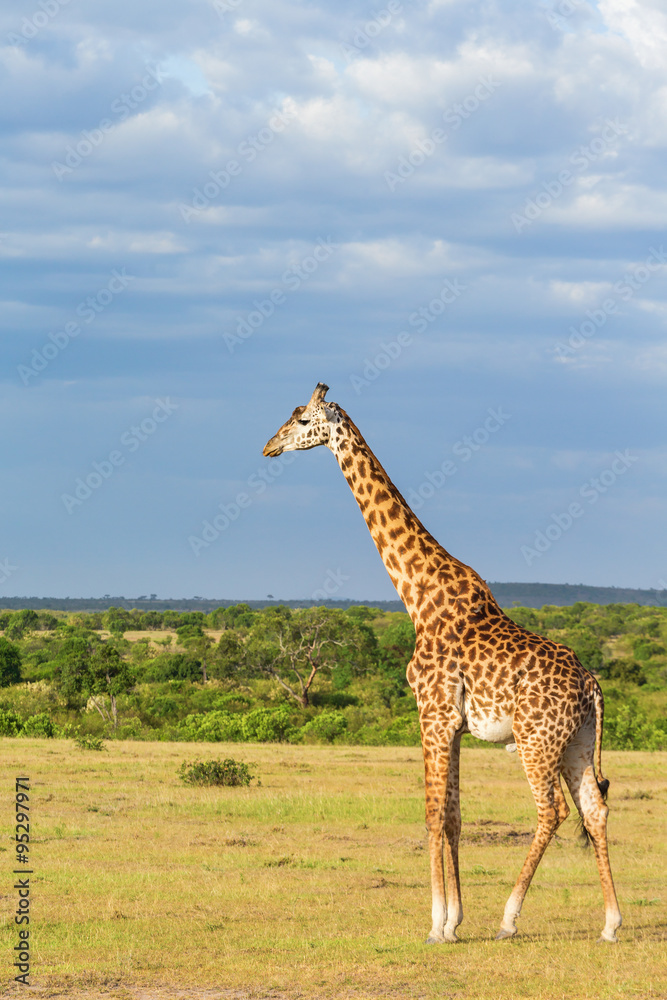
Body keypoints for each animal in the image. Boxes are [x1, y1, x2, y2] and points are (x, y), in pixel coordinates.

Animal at [263, 383, 622, 945]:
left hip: (536, 740)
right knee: (595, 809)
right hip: (578, 741)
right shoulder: (451, 725)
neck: (417, 595)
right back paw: (610, 923)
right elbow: (452, 817)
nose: (268, 447)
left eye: (301, 420)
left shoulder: (431, 715)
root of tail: (591, 684)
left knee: (553, 811)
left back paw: (509, 918)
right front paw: (454, 921)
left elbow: (432, 815)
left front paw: (436, 925)